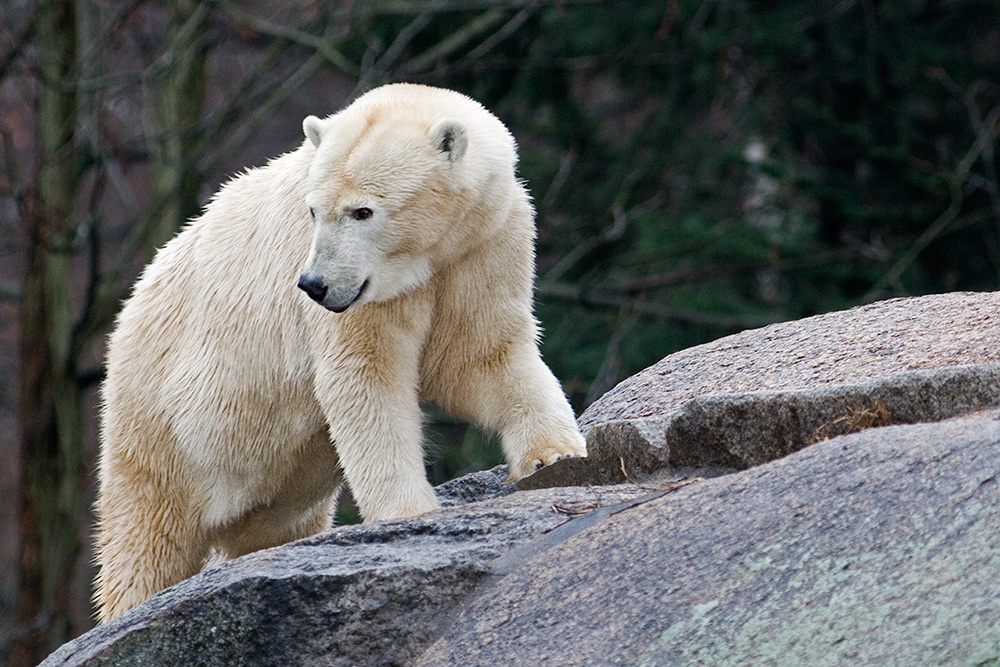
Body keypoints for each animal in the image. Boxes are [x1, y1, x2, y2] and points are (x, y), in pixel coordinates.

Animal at [95, 82, 584, 620]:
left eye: (363, 210)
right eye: (312, 210)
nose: (314, 284)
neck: (424, 259)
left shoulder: (484, 244)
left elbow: (481, 354)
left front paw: (552, 455)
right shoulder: (365, 294)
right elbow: (365, 379)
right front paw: (410, 513)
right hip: (161, 421)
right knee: (147, 541)